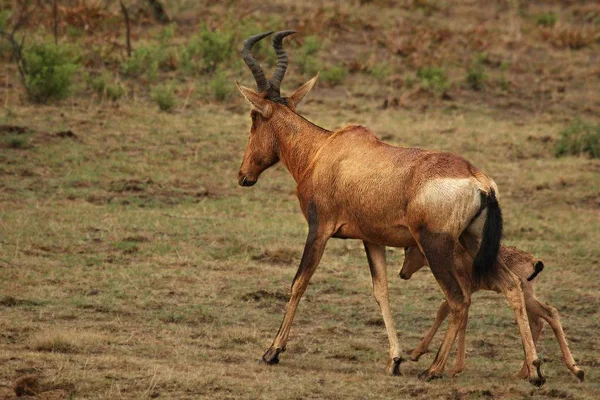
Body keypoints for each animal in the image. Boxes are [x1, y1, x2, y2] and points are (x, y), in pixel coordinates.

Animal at [238, 29, 544, 382]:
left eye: (254, 117)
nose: (243, 175)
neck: (324, 150)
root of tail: (479, 180)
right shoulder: (371, 239)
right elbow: (381, 291)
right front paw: (394, 360)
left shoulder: (319, 229)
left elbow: (299, 282)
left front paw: (272, 351)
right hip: (475, 241)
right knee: (511, 287)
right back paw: (535, 370)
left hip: (436, 246)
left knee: (458, 299)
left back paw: (434, 369)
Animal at [400, 244, 584, 382]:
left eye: (407, 249)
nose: (402, 273)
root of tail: (534, 262)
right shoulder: (468, 292)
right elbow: (452, 314)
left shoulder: (464, 290)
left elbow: (448, 312)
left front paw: (423, 358)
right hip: (529, 298)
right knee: (544, 317)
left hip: (524, 296)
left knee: (546, 315)